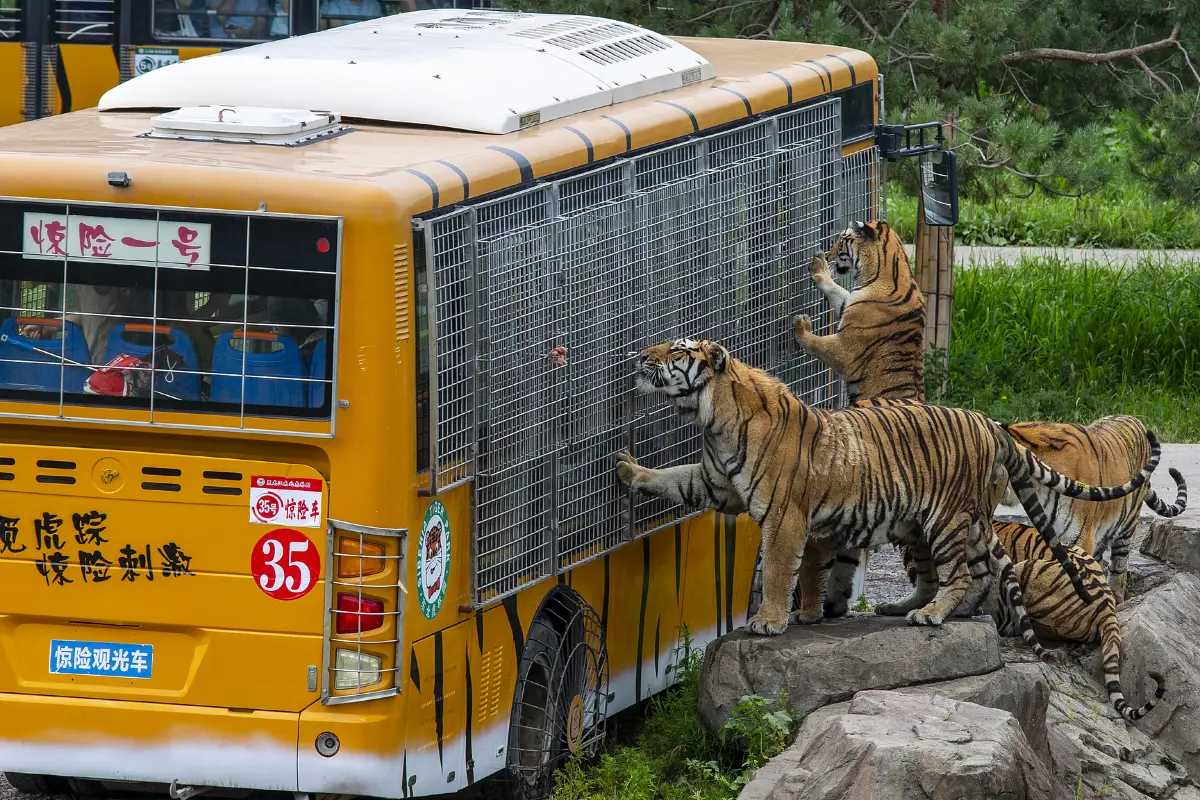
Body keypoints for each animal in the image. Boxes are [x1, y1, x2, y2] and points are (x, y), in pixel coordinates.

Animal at [614, 338, 1162, 636]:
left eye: (677, 350)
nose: (639, 354)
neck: (712, 418)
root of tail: (989, 423)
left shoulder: (785, 516)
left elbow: (780, 571)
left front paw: (770, 620)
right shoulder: (714, 481)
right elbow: (675, 479)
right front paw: (627, 470)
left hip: (944, 519)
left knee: (958, 575)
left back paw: (932, 615)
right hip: (949, 524)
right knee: (976, 574)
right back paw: (929, 610)